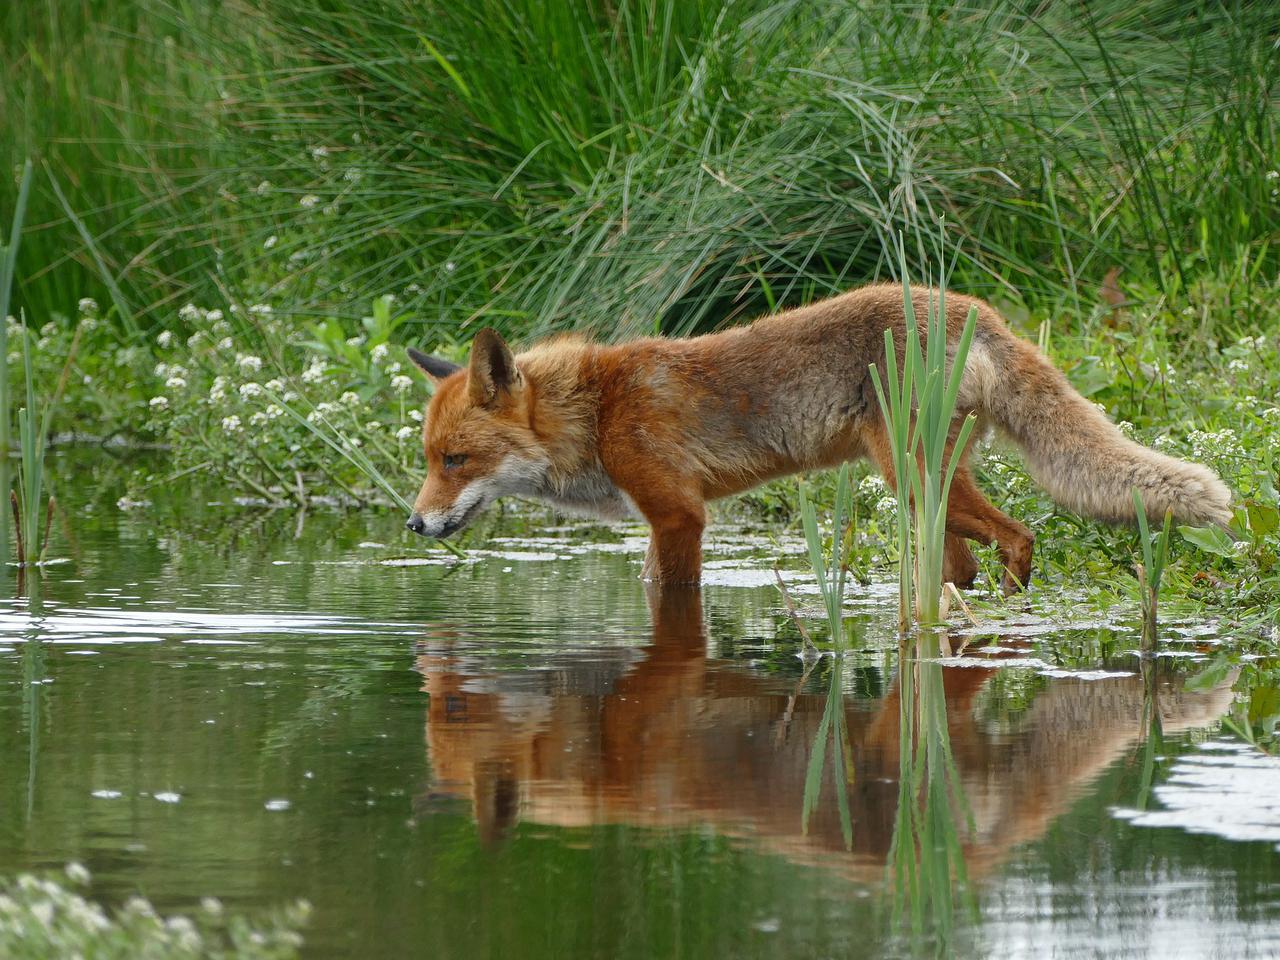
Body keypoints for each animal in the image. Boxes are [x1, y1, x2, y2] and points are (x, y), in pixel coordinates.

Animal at [404, 281, 1233, 591]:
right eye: (429, 461)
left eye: (457, 459)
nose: (413, 524)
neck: (597, 411)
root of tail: (975, 308)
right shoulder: (660, 521)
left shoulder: (679, 516)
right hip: (928, 493)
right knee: (966, 564)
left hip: (911, 478)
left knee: (1021, 535)